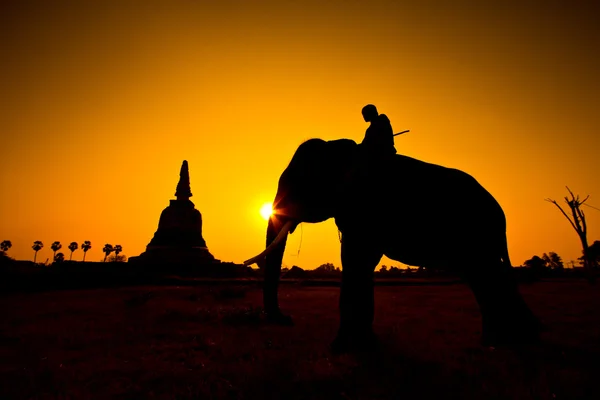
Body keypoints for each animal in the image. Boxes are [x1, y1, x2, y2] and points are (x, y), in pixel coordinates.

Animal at [245, 139, 544, 352]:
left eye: (300, 182)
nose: (287, 319)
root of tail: (500, 213)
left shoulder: (367, 209)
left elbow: (356, 261)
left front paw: (340, 348)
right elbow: (360, 264)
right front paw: (364, 346)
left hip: (476, 232)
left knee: (484, 275)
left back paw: (509, 340)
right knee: (484, 276)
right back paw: (506, 340)